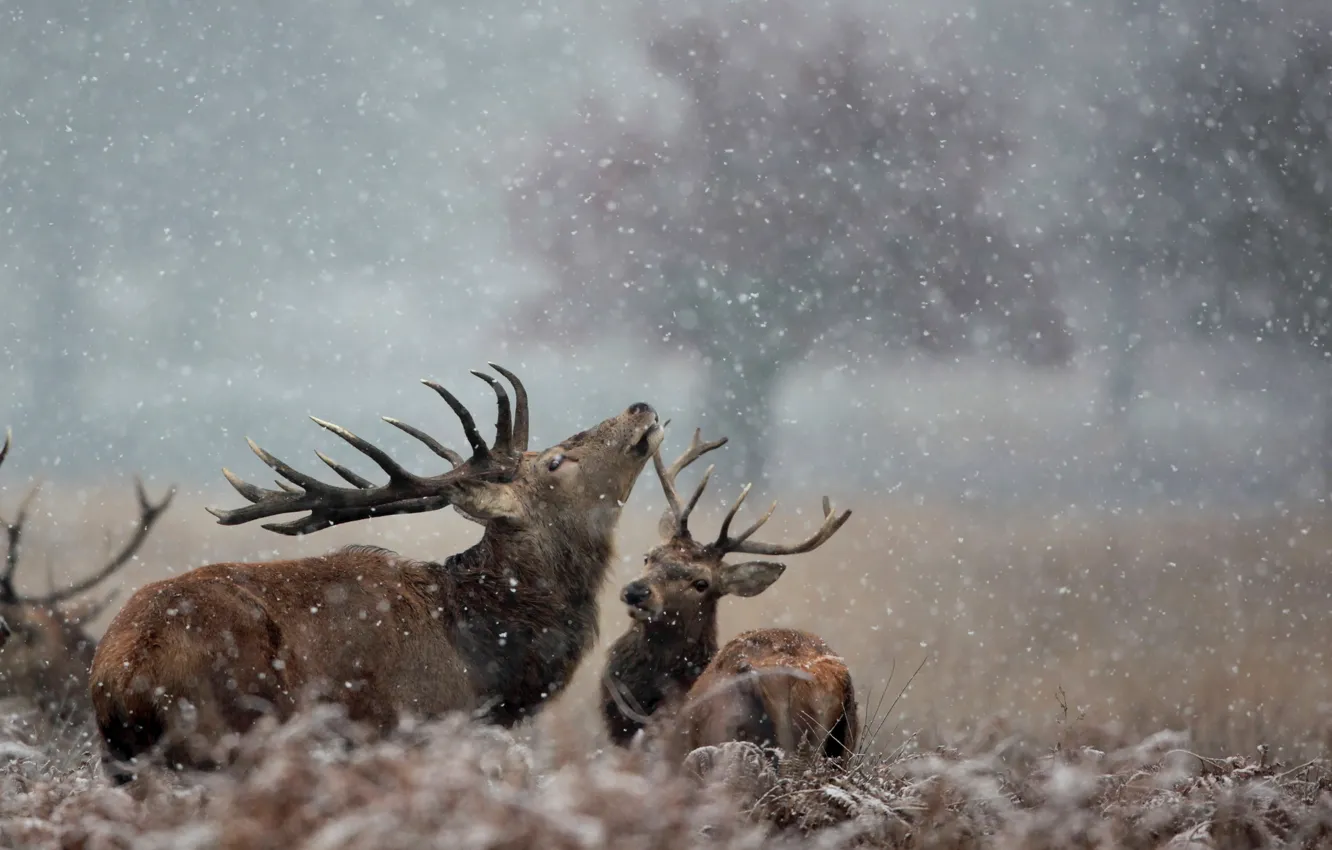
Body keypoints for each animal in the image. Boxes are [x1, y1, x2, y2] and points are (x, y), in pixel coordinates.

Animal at [89, 364, 665, 782]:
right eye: (555, 461)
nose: (640, 407)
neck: (482, 666)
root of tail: (122, 674)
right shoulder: (414, 728)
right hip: (228, 738)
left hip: (123, 764)